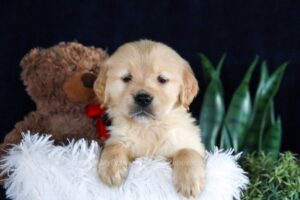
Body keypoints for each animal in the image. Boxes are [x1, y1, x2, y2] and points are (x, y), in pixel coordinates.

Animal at [94, 39, 206, 198]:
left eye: (162, 79)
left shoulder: (192, 143)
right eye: (126, 78)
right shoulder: (118, 137)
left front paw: (190, 182)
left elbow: (187, 151)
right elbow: (114, 145)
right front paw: (111, 169)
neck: (148, 128)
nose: (143, 98)